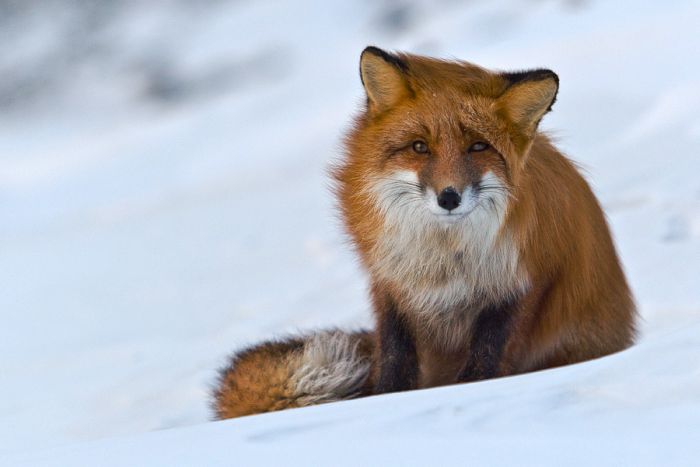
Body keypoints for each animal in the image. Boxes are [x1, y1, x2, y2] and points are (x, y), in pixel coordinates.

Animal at [211, 47, 636, 420]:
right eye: (419, 147)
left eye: (478, 146)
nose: (449, 197)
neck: (442, 260)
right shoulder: (393, 289)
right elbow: (395, 365)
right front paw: (388, 403)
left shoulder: (516, 289)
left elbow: (485, 362)